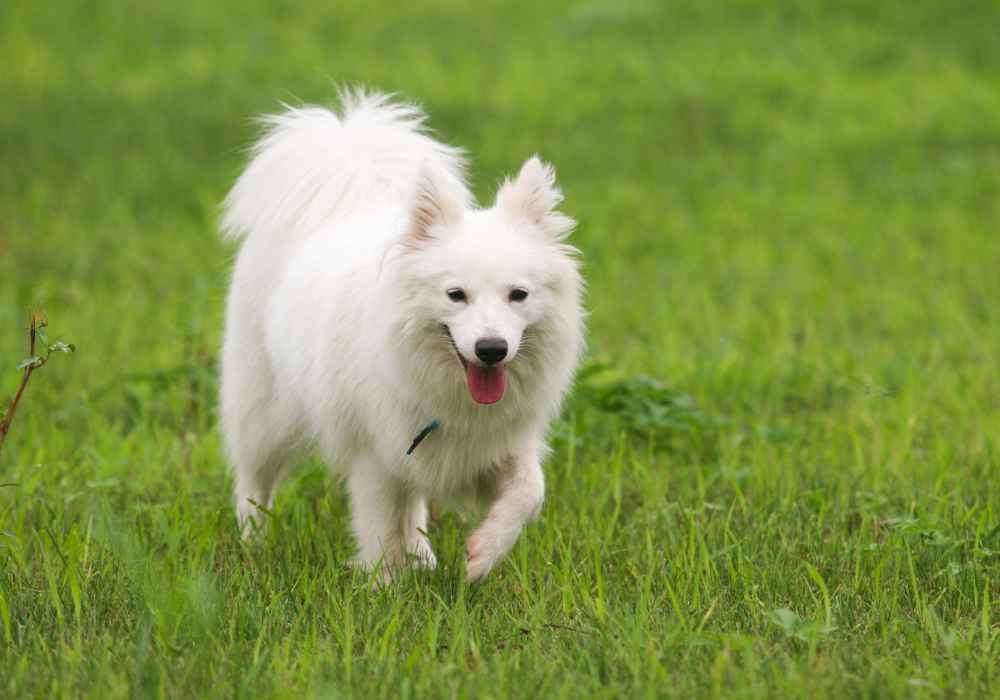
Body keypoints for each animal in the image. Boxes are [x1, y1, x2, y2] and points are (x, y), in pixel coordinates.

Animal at [215, 90, 584, 580]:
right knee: (253, 482)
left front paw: (482, 555)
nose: (491, 349)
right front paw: (385, 587)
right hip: (263, 413)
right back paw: (252, 544)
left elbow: (529, 491)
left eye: (518, 295)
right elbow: (382, 530)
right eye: (455, 295)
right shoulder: (376, 456)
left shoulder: (494, 446)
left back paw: (424, 557)